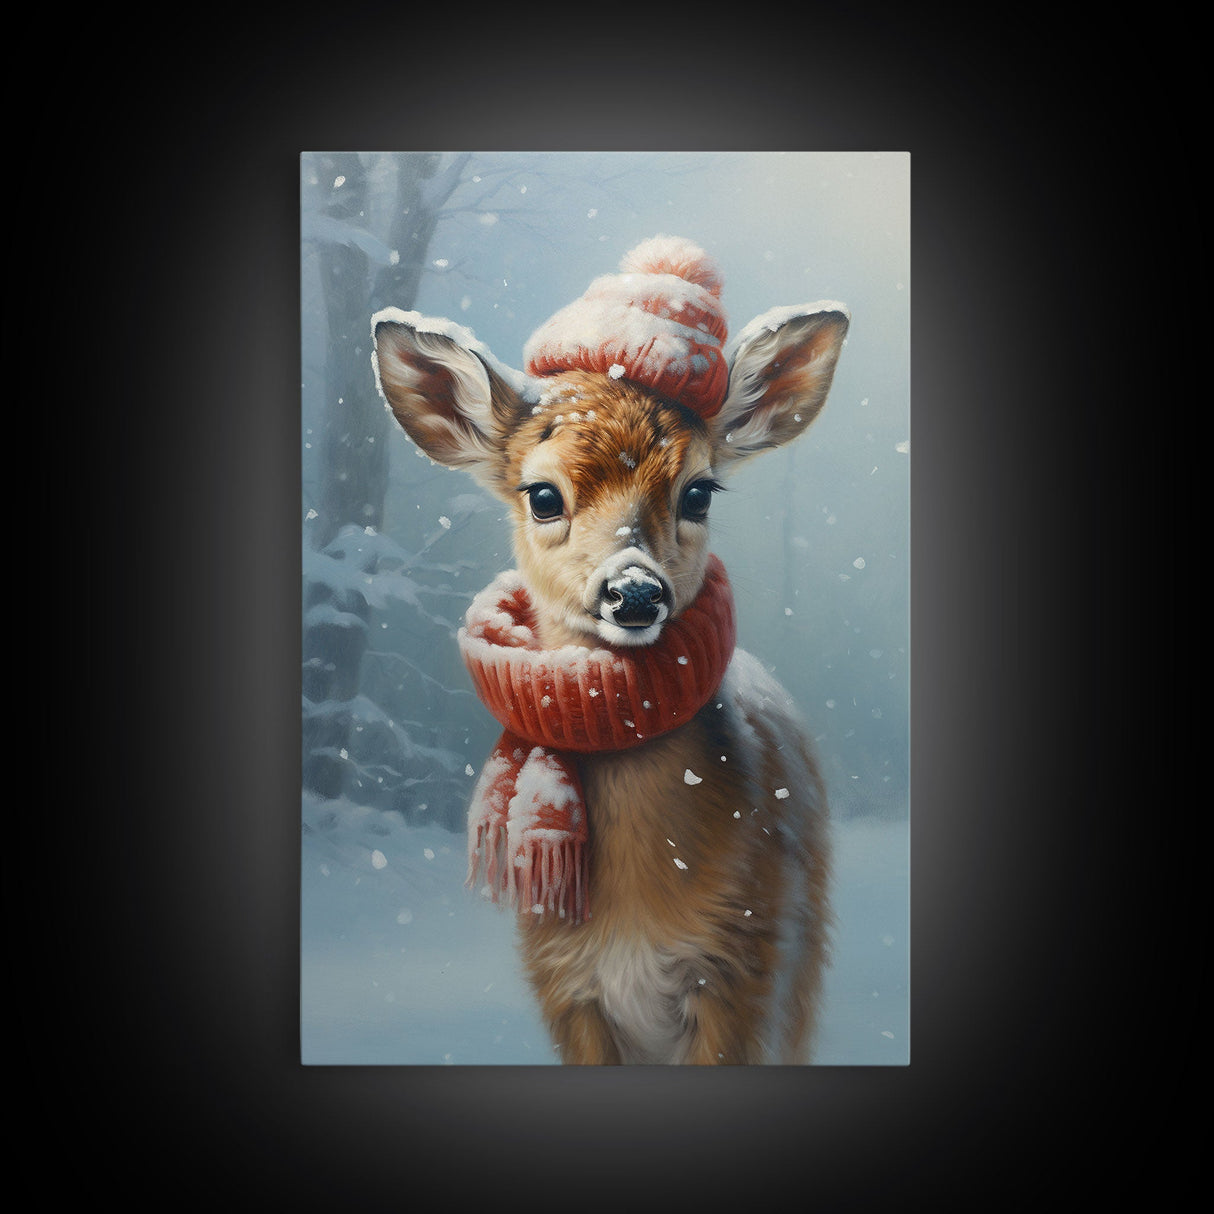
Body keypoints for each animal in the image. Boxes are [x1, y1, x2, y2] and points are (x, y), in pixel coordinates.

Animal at [371, 236, 849, 1064]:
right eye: (542, 495)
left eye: (699, 492)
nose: (633, 592)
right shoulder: (563, 984)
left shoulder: (748, 963)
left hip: (801, 963)